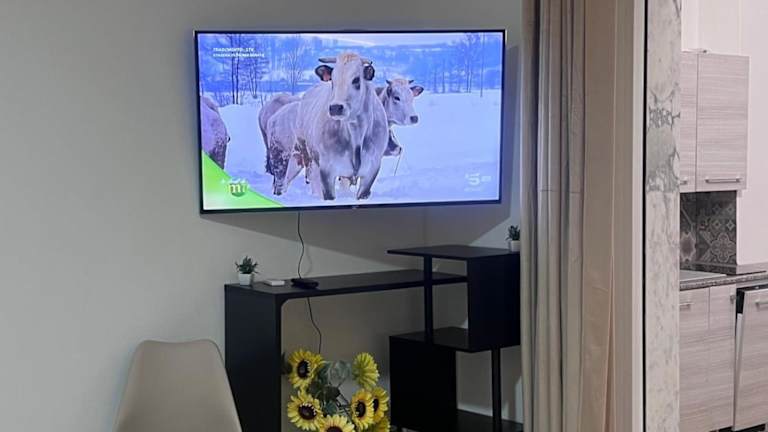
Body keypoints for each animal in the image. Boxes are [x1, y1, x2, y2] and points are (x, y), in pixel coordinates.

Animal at [295, 52, 389, 200]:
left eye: (356, 80)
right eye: (332, 80)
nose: (335, 108)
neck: (356, 131)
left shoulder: (372, 169)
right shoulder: (327, 169)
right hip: (307, 153)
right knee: (313, 178)